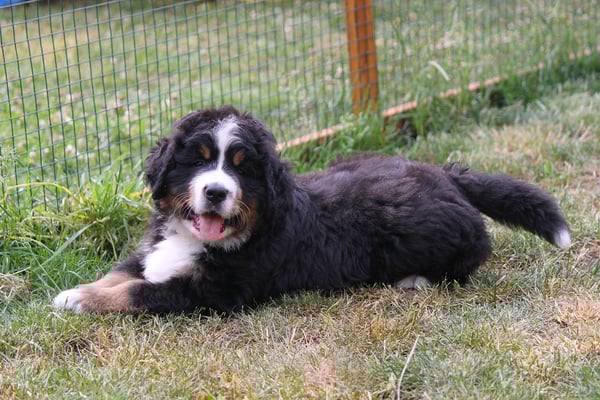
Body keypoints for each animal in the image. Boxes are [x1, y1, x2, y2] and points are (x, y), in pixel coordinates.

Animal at [53, 106, 571, 313]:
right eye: (197, 160)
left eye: (242, 169)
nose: (217, 192)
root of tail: (446, 174)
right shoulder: (152, 249)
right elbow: (123, 273)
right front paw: (75, 292)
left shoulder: (214, 292)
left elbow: (137, 291)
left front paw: (83, 301)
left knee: (468, 262)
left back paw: (415, 280)